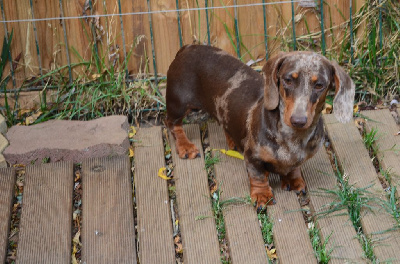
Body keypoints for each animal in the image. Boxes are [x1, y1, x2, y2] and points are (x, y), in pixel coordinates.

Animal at [165, 46, 354, 210]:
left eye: (319, 85)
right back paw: (185, 146)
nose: (298, 120)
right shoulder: (252, 158)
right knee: (172, 124)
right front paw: (262, 195)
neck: (293, 137)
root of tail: (188, 47)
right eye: (288, 80)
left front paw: (293, 180)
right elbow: (258, 176)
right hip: (178, 103)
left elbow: (294, 168)